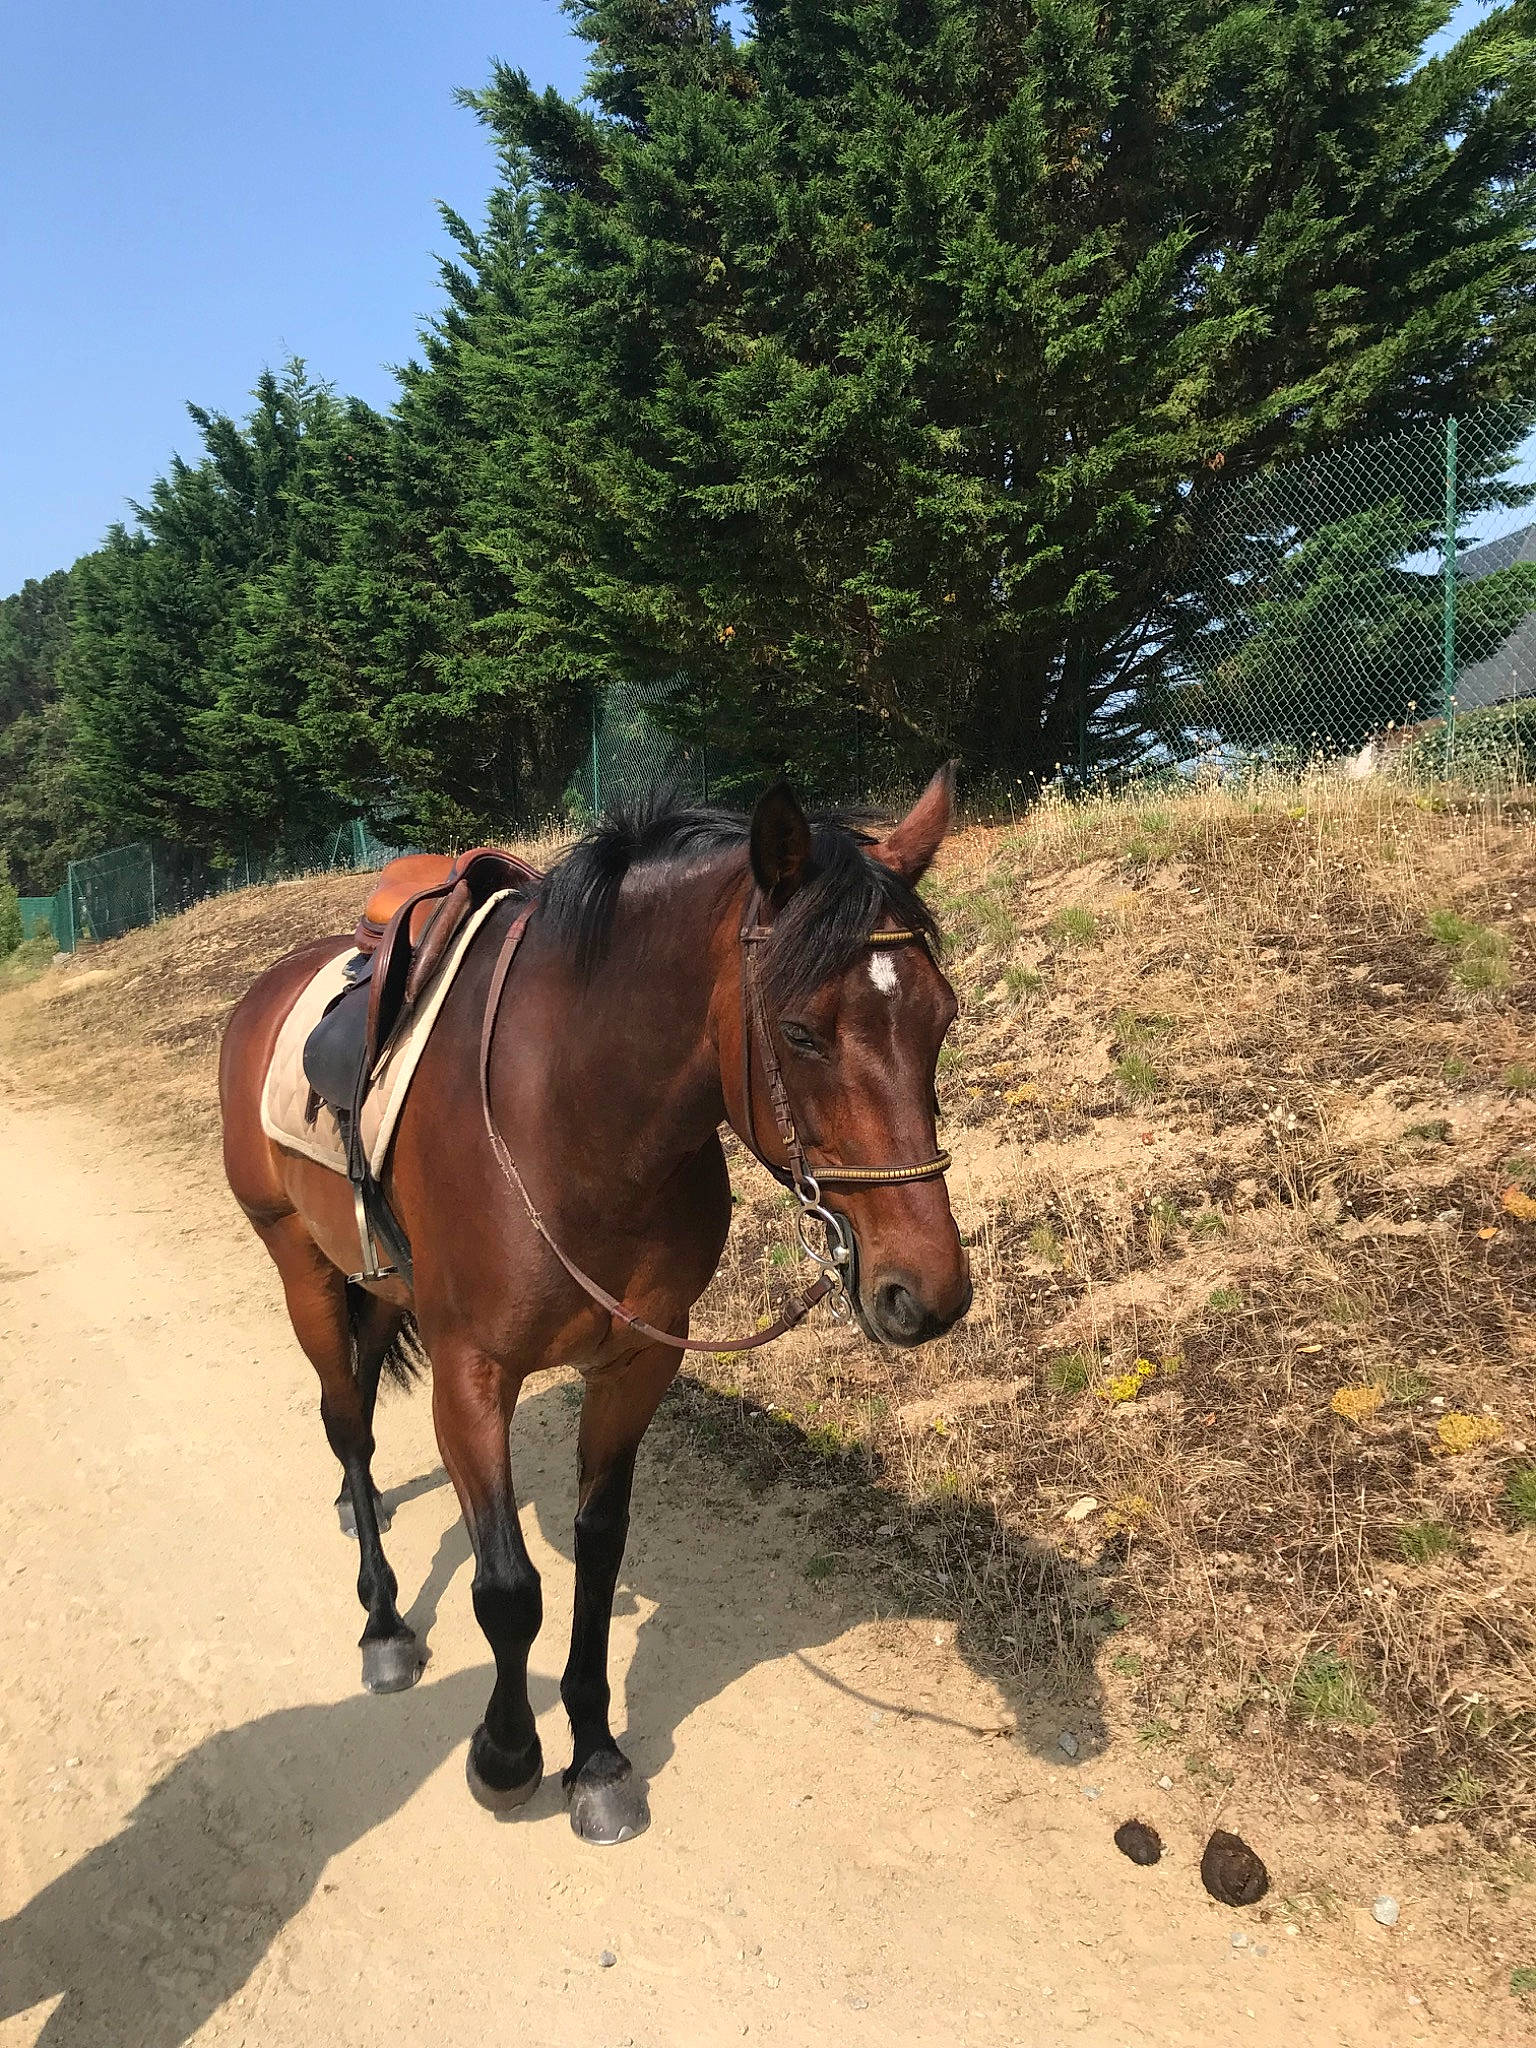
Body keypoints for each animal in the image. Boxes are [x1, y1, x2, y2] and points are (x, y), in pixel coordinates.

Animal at [218, 770, 971, 1844]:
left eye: (940, 1020)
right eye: (799, 1032)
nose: (928, 1292)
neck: (571, 1117)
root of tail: (269, 985)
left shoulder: (636, 1363)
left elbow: (597, 1552)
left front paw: (597, 1754)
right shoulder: (471, 1375)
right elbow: (507, 1589)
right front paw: (506, 1755)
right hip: (300, 1268)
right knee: (347, 1427)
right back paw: (383, 1620)